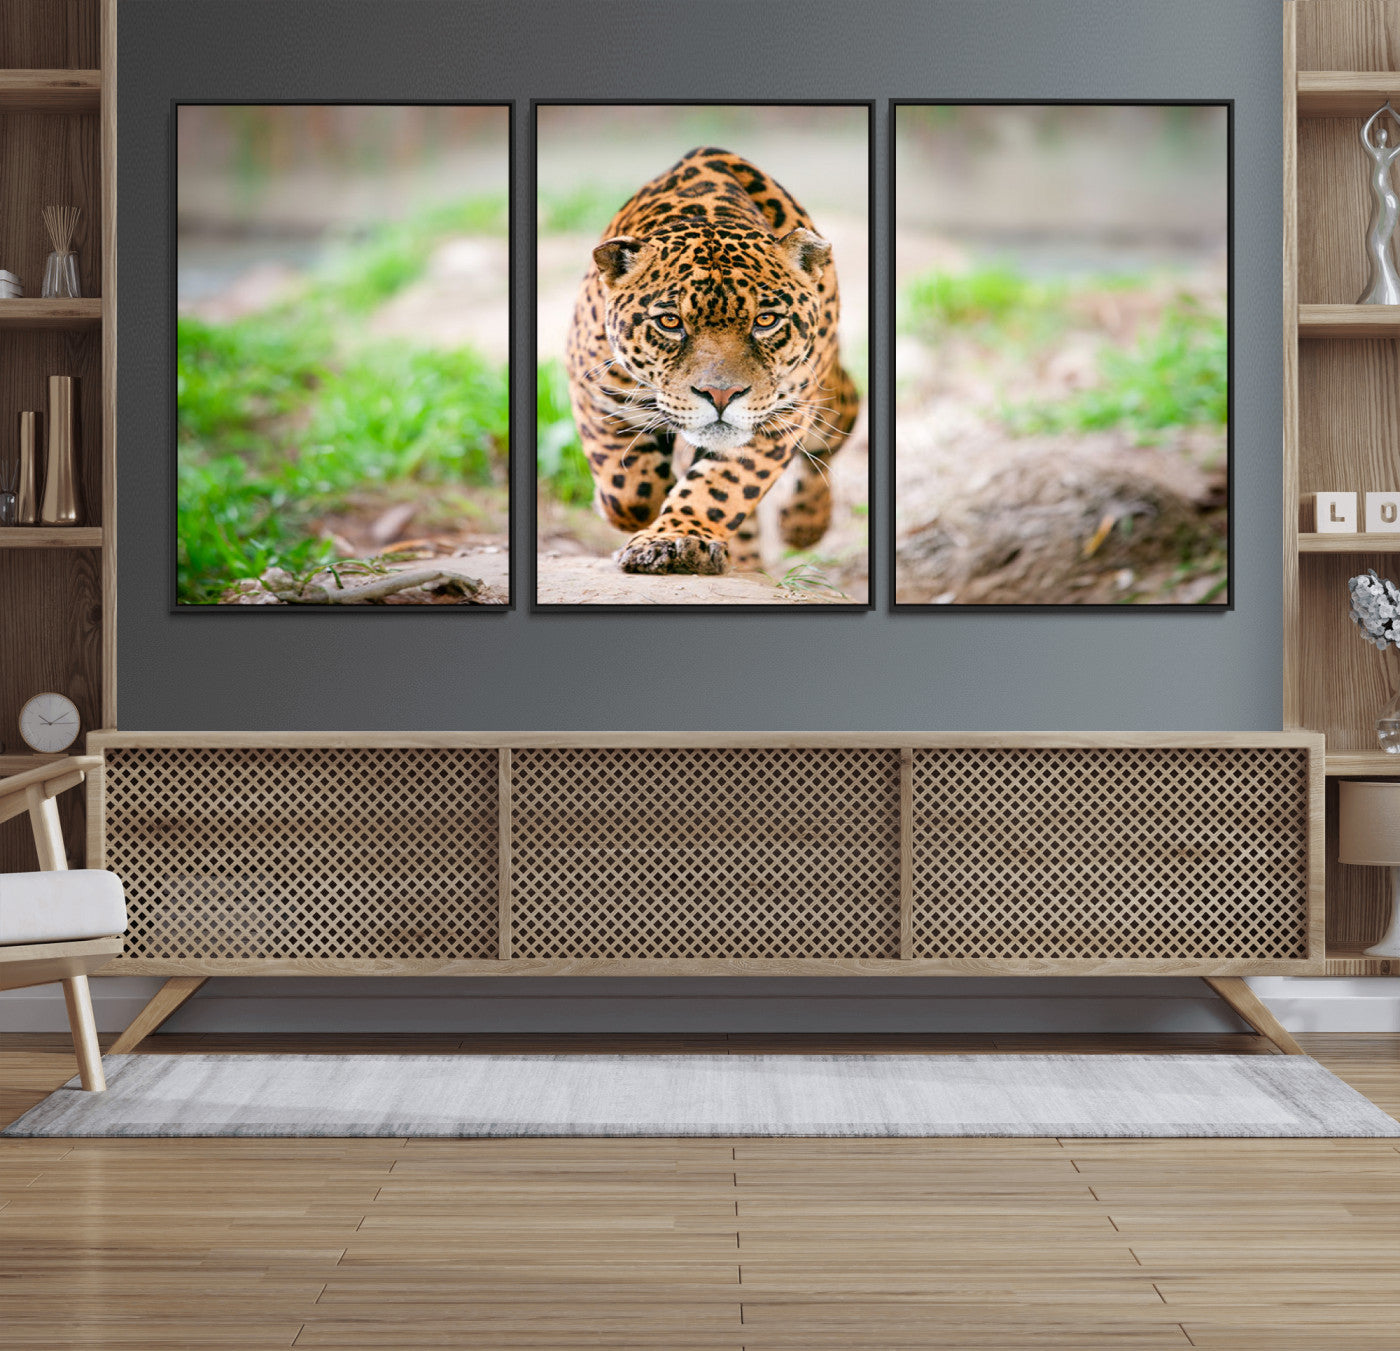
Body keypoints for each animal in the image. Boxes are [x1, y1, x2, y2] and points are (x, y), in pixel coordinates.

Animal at [563, 146, 861, 575]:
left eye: (765, 320)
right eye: (670, 322)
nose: (721, 395)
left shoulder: (780, 418)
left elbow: (723, 487)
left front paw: (675, 539)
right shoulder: (595, 390)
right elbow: (628, 489)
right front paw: (638, 511)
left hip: (825, 398)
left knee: (831, 435)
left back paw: (803, 524)